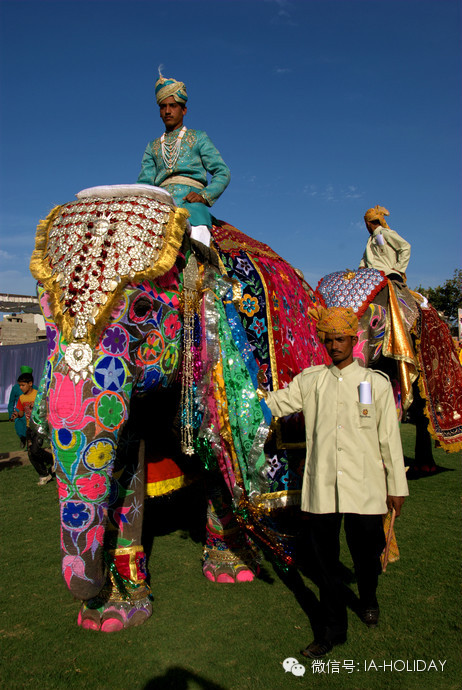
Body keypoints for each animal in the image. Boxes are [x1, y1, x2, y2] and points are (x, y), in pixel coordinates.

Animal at [29, 183, 328, 628]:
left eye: (141, 308)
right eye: (43, 316)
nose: (88, 589)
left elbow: (216, 450)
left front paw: (232, 571)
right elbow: (125, 455)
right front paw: (112, 616)